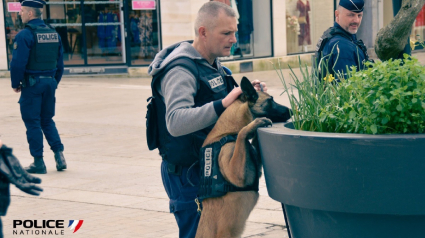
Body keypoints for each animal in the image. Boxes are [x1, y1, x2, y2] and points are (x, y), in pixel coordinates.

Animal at [10, 0, 66, 174]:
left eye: (21, 10)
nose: (19, 14)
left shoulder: (21, 40)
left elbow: (18, 63)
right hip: (49, 98)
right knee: (48, 123)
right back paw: (61, 161)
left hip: (30, 101)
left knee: (32, 124)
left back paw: (37, 165)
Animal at [196, 77, 292, 237]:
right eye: (270, 100)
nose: (291, 110)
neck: (226, 132)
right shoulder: (237, 175)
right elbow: (242, 134)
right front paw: (252, 126)